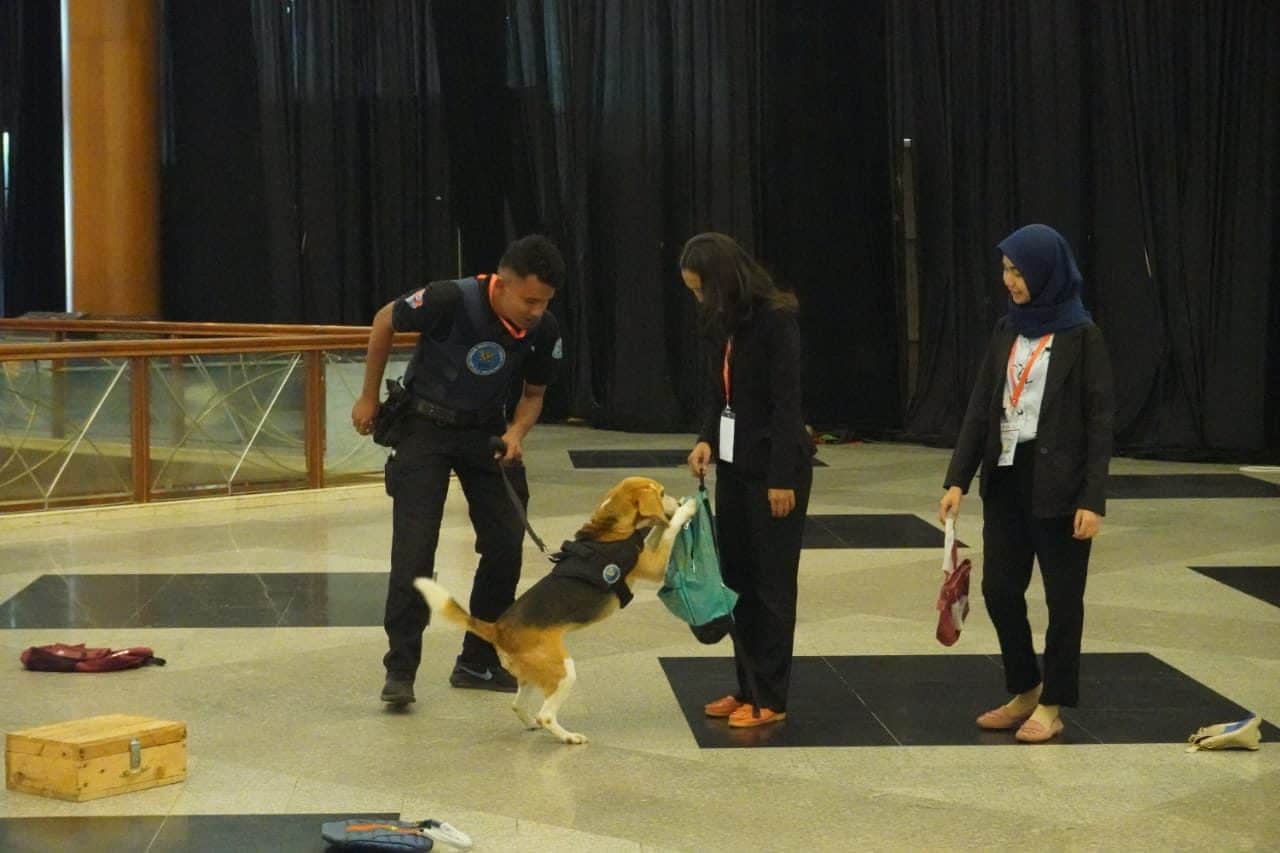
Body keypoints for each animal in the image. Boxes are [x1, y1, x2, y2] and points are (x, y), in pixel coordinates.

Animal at [414, 473, 696, 742]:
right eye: (661, 493)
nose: (675, 502)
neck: (611, 529)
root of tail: (498, 629)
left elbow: (658, 532)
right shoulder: (654, 566)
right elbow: (668, 532)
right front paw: (686, 510)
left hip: (530, 673)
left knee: (517, 705)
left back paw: (530, 724)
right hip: (563, 671)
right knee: (546, 715)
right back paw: (568, 736)